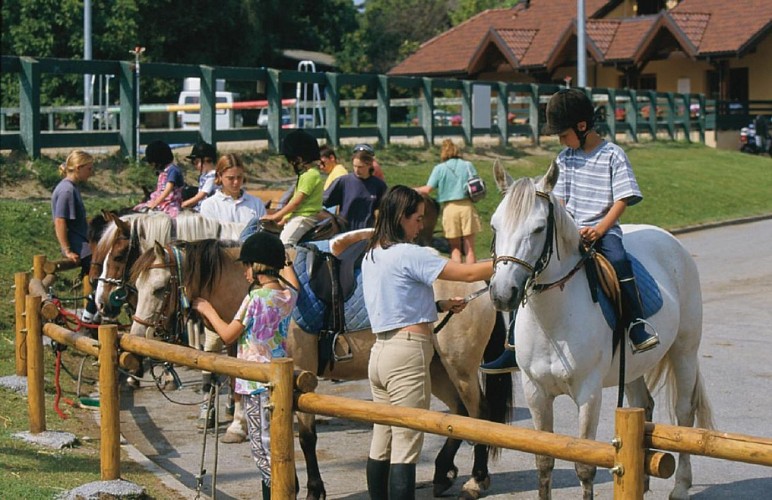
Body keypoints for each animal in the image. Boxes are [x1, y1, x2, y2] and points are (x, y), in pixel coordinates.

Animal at [488, 161, 712, 500]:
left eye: (539, 228)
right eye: (494, 226)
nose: (502, 293)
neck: (554, 323)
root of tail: (669, 239)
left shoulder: (588, 394)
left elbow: (584, 465)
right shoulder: (535, 391)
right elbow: (544, 459)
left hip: (684, 352)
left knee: (684, 415)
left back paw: (681, 487)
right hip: (632, 368)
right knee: (643, 404)